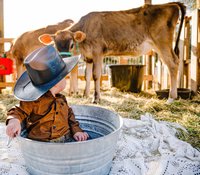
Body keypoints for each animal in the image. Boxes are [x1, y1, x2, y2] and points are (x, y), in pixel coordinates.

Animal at [38, 2, 186, 103]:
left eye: (71, 45)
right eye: (55, 46)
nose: (63, 59)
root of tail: (171, 4)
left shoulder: (97, 52)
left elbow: (95, 75)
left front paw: (96, 98)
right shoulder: (88, 57)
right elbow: (86, 76)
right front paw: (85, 95)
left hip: (162, 42)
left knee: (173, 64)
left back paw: (171, 98)